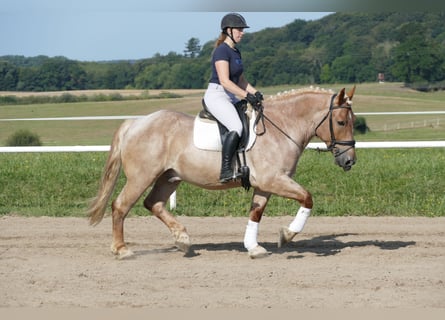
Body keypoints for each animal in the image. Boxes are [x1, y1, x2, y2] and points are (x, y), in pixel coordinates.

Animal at [87, 85, 358, 260]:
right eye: (341, 122)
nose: (349, 161)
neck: (280, 127)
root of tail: (136, 122)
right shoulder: (274, 180)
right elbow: (307, 198)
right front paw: (287, 235)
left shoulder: (265, 184)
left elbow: (256, 212)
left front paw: (253, 247)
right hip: (141, 177)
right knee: (121, 206)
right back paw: (122, 250)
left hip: (169, 177)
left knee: (153, 203)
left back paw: (183, 240)